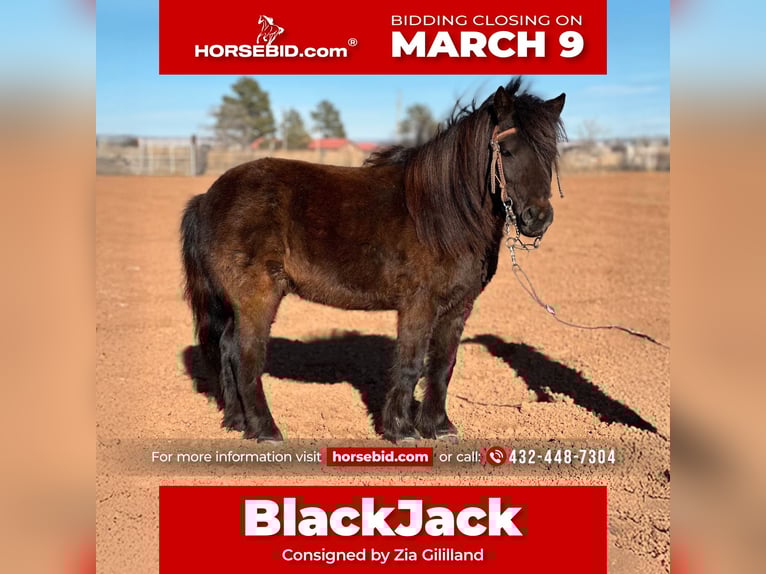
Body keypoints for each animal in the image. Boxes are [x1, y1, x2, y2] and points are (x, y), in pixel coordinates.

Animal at [181, 78, 565, 442]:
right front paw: (401, 429)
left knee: (227, 348)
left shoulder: (458, 307)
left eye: (550, 152)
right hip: (256, 298)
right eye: (507, 150)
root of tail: (207, 197)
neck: (444, 212)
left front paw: (438, 426)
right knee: (246, 355)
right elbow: (410, 364)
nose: (538, 218)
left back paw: (236, 421)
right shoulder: (418, 304)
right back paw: (265, 430)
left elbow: (442, 366)